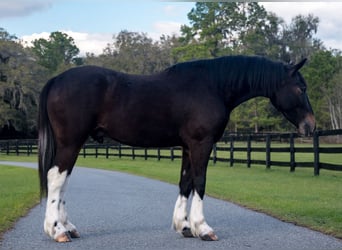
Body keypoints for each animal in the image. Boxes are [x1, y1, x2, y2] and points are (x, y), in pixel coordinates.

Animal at [38, 55, 316, 242]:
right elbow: (200, 183)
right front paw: (203, 228)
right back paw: (57, 230)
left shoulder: (187, 147)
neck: (212, 86)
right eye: (301, 88)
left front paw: (184, 226)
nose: (311, 126)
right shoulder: (201, 144)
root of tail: (56, 79)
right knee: (56, 178)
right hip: (71, 143)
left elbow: (186, 183)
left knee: (63, 182)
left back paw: (68, 227)